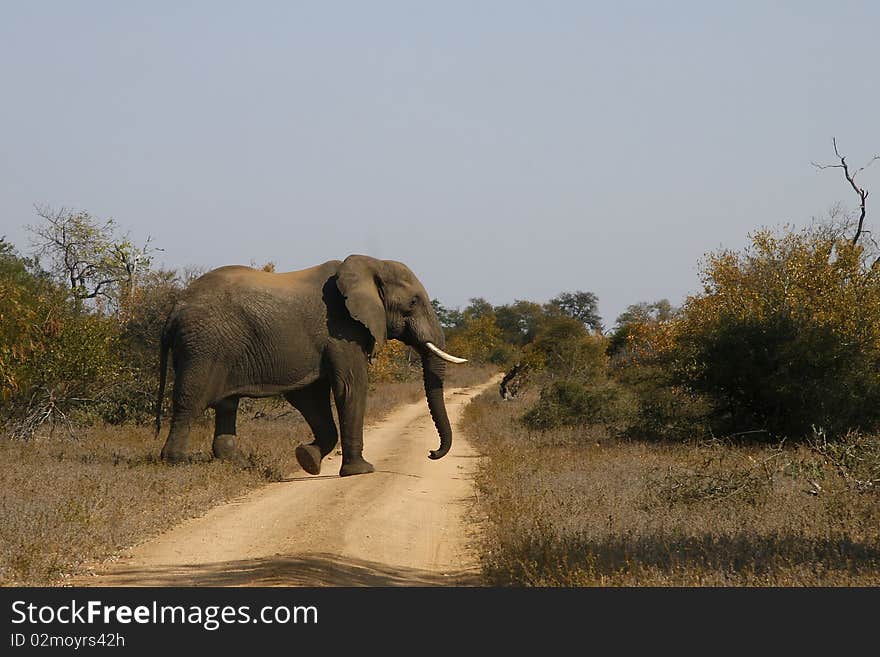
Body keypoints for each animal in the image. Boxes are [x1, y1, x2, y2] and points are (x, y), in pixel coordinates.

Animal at [153, 254, 468, 474]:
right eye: (413, 302)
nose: (431, 453)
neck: (369, 264)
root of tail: (174, 310)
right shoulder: (341, 329)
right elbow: (350, 387)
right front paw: (360, 471)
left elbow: (309, 396)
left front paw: (307, 460)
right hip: (203, 347)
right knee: (191, 402)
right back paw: (177, 462)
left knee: (227, 405)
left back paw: (239, 464)